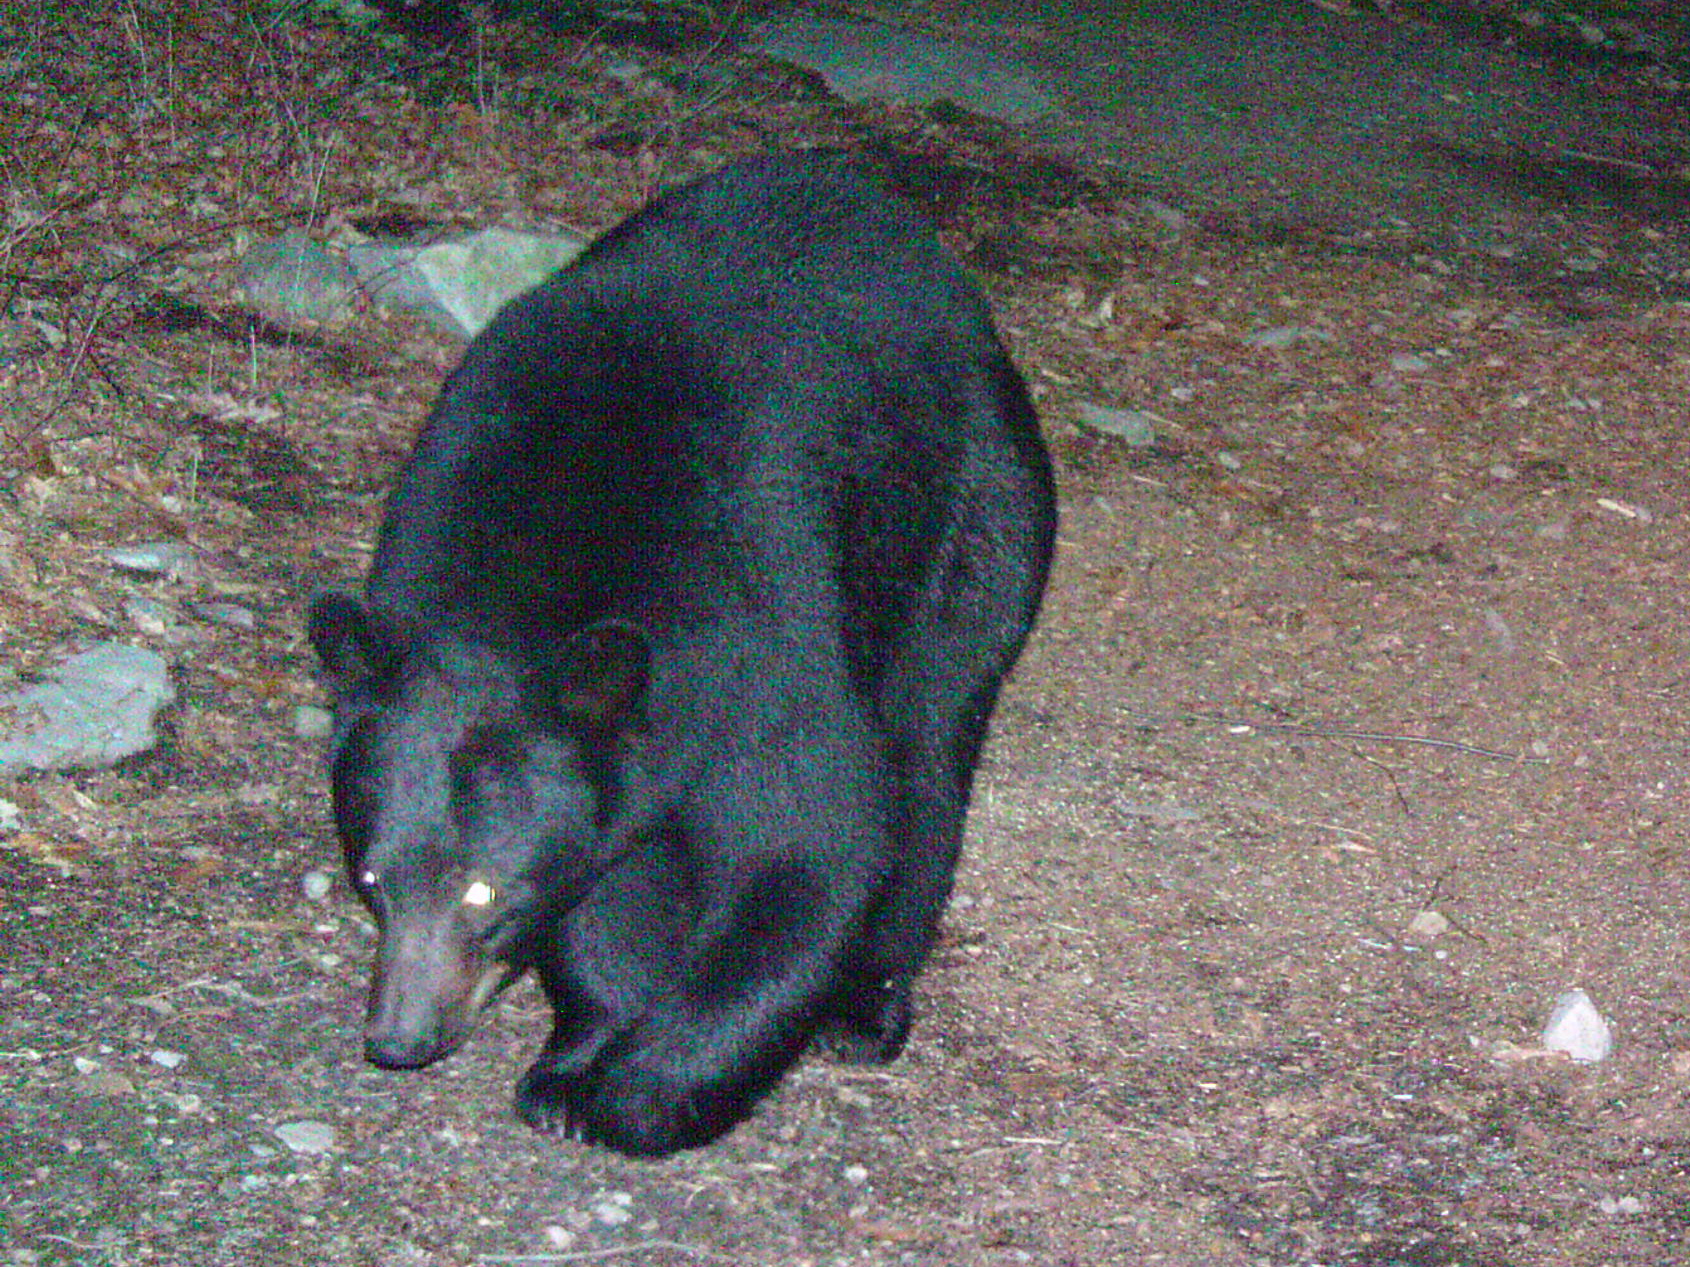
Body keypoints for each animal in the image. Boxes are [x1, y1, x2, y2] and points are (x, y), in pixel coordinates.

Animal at [309, 151, 1047, 1162]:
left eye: (485, 892)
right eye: (372, 878)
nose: (400, 1038)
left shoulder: (754, 623)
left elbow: (814, 842)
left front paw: (637, 1093)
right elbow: (606, 883)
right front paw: (577, 1056)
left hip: (973, 518)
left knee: (927, 752)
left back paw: (867, 1004)